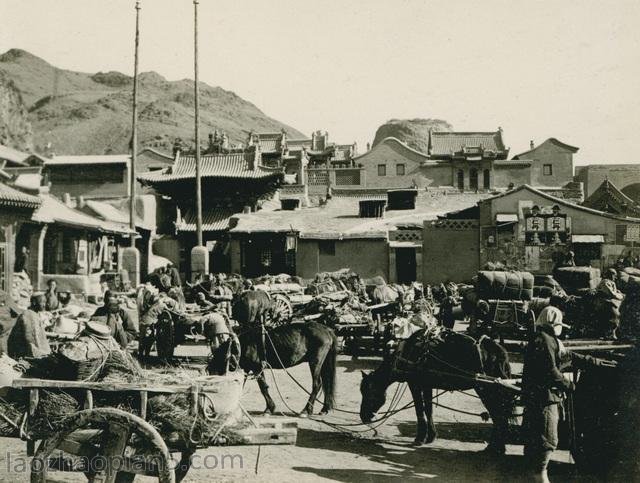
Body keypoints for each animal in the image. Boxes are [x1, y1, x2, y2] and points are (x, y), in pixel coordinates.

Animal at [211, 322, 340, 416]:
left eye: (218, 358)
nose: (212, 373)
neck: (243, 345)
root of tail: (326, 329)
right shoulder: (249, 369)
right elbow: (242, 385)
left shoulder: (257, 368)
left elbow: (263, 387)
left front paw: (269, 408)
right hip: (323, 362)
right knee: (326, 383)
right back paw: (324, 409)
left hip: (315, 362)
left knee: (317, 384)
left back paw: (306, 410)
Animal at [360, 330, 516, 452]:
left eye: (367, 391)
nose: (363, 417)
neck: (408, 353)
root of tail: (497, 350)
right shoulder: (427, 385)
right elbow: (428, 409)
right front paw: (431, 436)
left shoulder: (415, 384)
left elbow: (419, 409)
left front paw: (420, 437)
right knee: (500, 416)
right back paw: (497, 446)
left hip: (487, 390)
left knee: (499, 416)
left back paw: (494, 447)